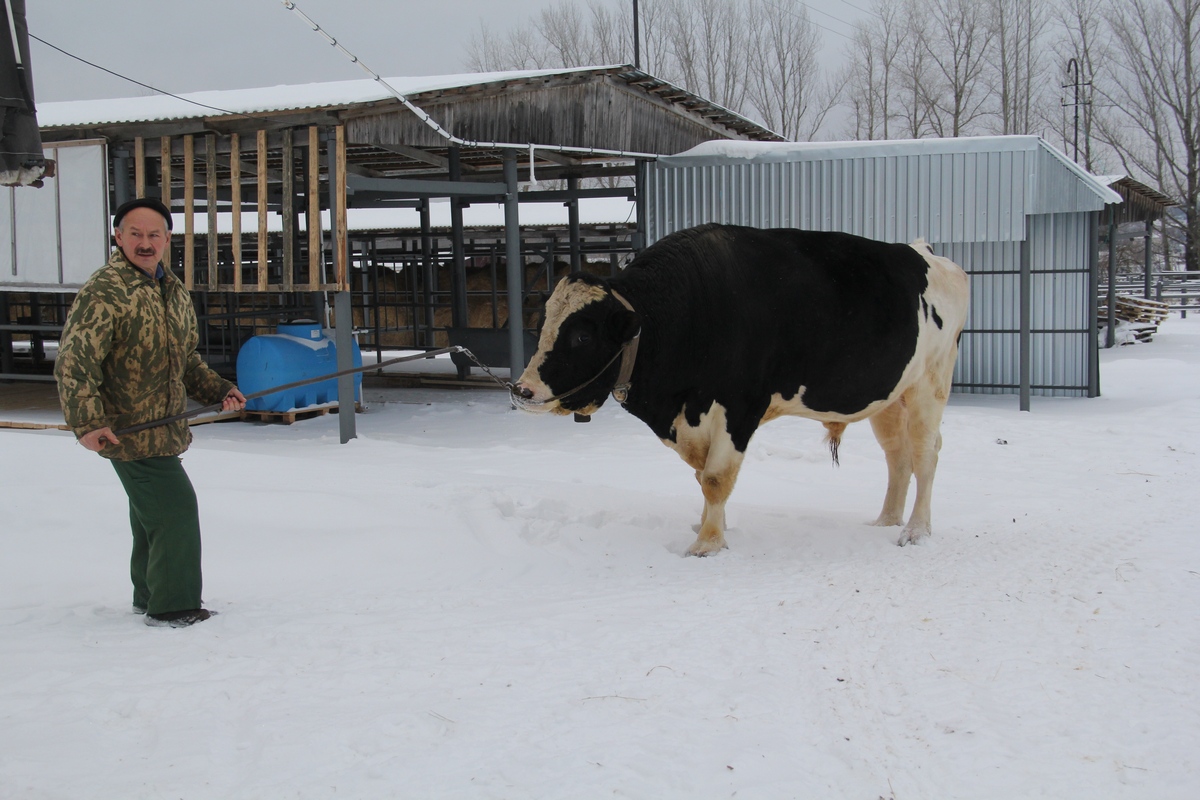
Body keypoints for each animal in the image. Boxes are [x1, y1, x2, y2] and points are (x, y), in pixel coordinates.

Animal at [511, 220, 969, 556]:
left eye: (581, 336)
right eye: (543, 323)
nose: (522, 390)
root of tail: (924, 252)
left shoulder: (738, 408)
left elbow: (715, 477)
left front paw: (707, 545)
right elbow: (703, 477)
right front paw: (709, 526)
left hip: (931, 383)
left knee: (925, 453)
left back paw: (915, 531)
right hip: (891, 397)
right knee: (898, 457)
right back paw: (887, 519)